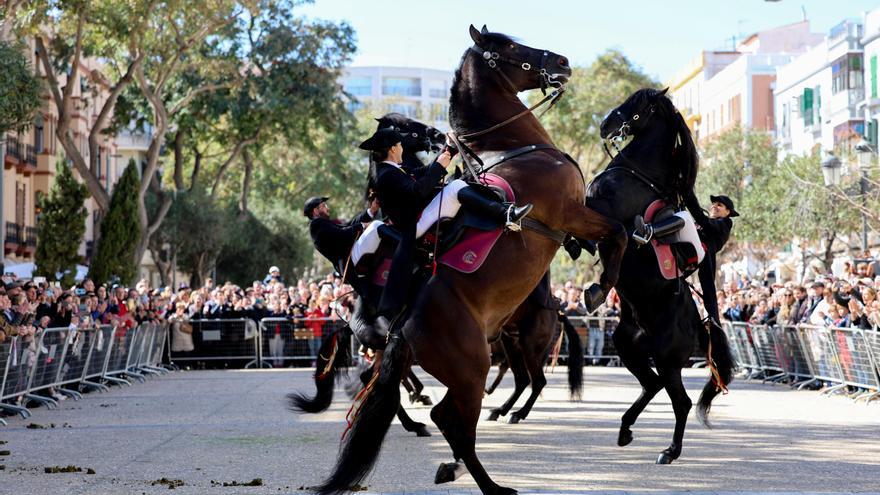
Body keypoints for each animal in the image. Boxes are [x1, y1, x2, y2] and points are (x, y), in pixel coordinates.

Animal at [584, 88, 736, 464]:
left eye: (638, 106)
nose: (606, 124)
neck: (634, 173)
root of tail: (699, 325)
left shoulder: (604, 214)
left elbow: (616, 240)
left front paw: (598, 285)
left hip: (668, 360)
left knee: (680, 402)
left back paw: (669, 450)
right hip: (629, 348)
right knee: (650, 385)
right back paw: (625, 431)